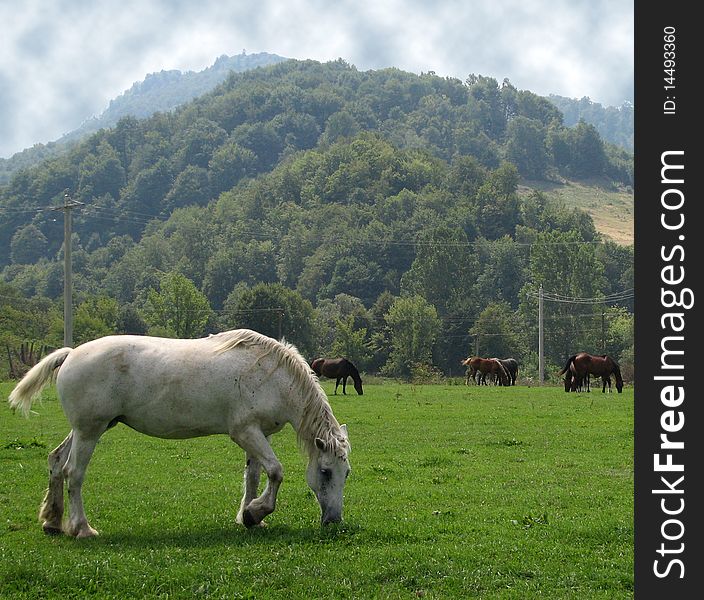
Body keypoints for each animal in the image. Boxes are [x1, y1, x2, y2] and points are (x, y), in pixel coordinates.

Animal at [8, 330, 352, 536]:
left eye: (345, 472)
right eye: (325, 472)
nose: (334, 521)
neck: (271, 375)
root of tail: (71, 353)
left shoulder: (257, 435)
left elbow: (254, 476)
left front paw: (250, 516)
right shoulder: (244, 432)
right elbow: (276, 472)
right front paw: (256, 512)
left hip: (85, 430)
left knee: (56, 463)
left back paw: (52, 521)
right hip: (89, 432)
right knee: (74, 473)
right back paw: (81, 528)